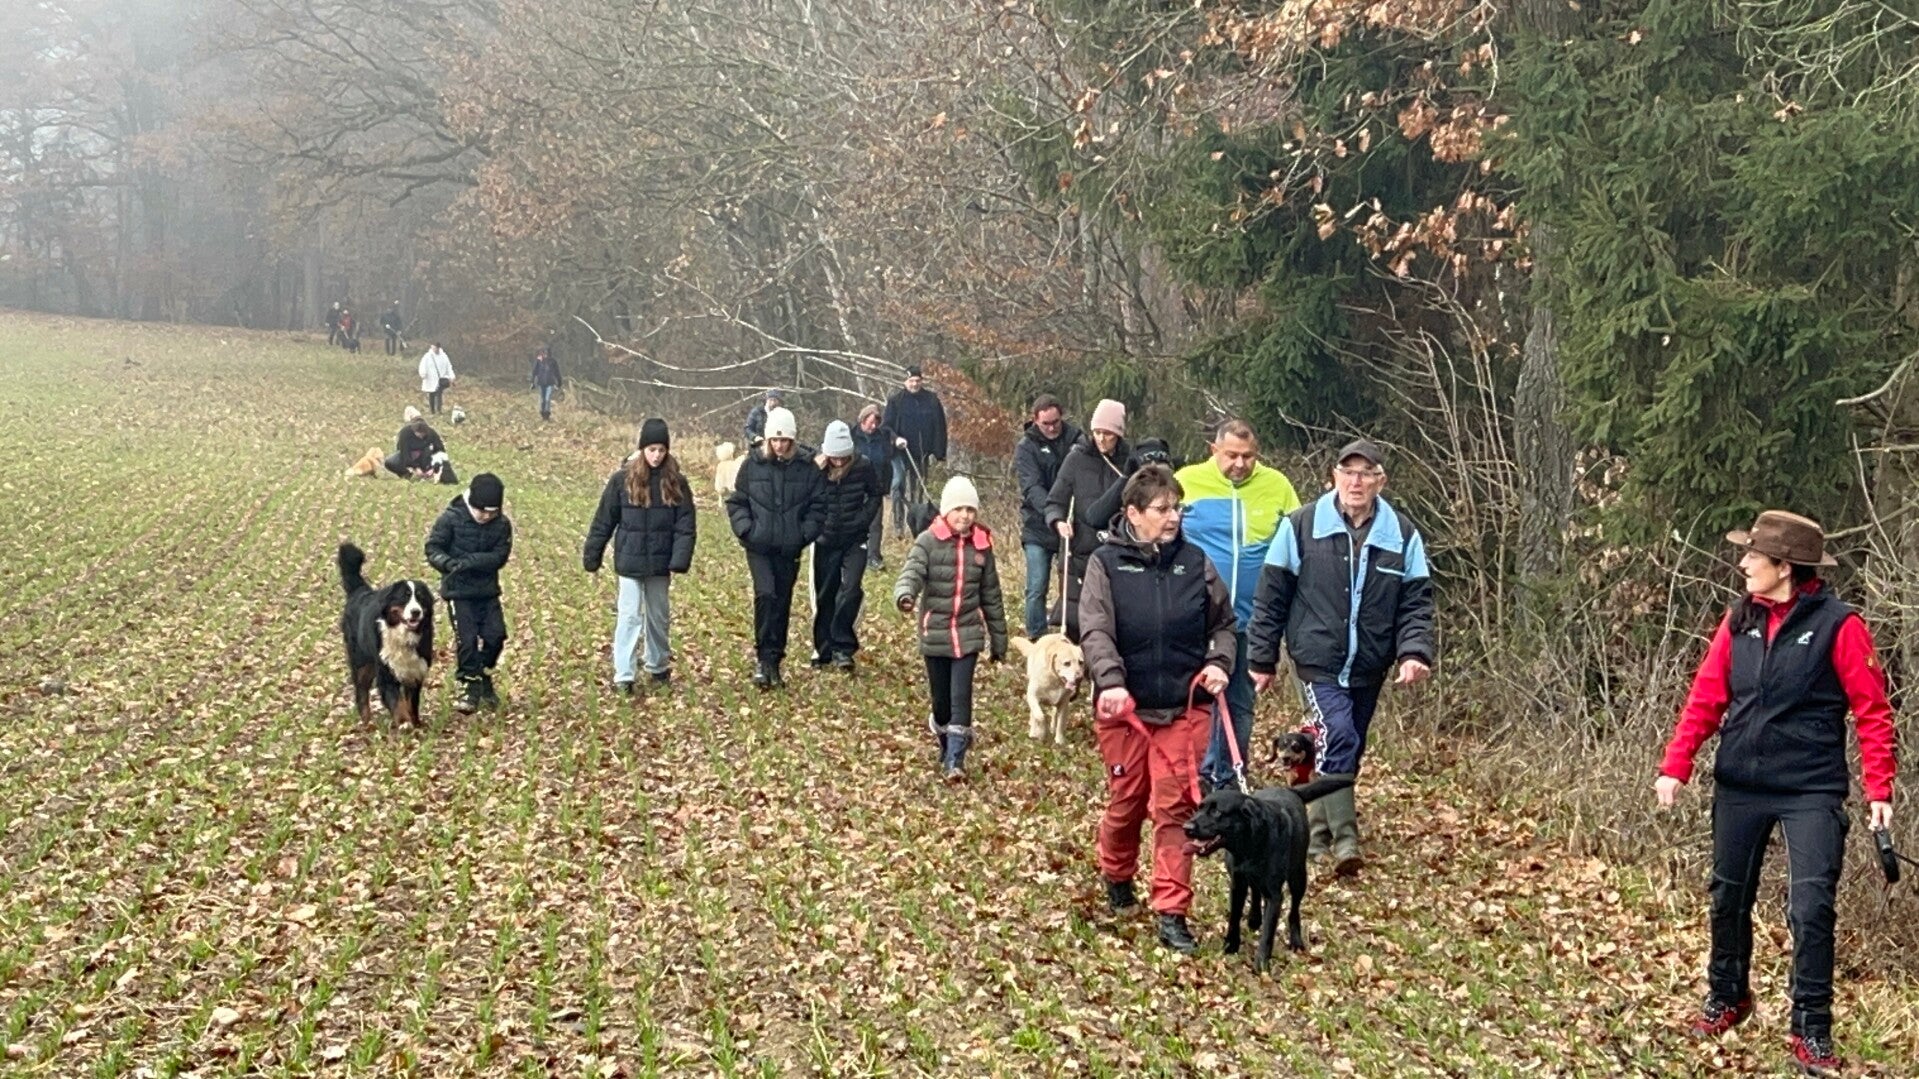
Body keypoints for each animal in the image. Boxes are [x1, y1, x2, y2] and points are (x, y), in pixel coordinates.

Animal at [337, 543, 435, 725]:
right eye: (404, 597)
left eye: (420, 598)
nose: (416, 612)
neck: (402, 634)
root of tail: (360, 591)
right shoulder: (386, 672)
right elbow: (397, 702)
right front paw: (403, 723)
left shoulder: (415, 670)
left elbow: (411, 703)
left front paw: (416, 724)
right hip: (361, 663)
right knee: (361, 693)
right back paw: (367, 723)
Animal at [1182, 777, 1354, 971]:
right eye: (1199, 808)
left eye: (1217, 811)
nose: (1186, 827)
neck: (1249, 845)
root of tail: (1290, 790)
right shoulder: (1237, 884)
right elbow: (1234, 917)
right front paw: (1231, 945)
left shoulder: (1274, 895)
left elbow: (1268, 931)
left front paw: (1261, 963)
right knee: (1256, 891)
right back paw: (1254, 918)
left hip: (1298, 876)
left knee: (1294, 910)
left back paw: (1295, 940)